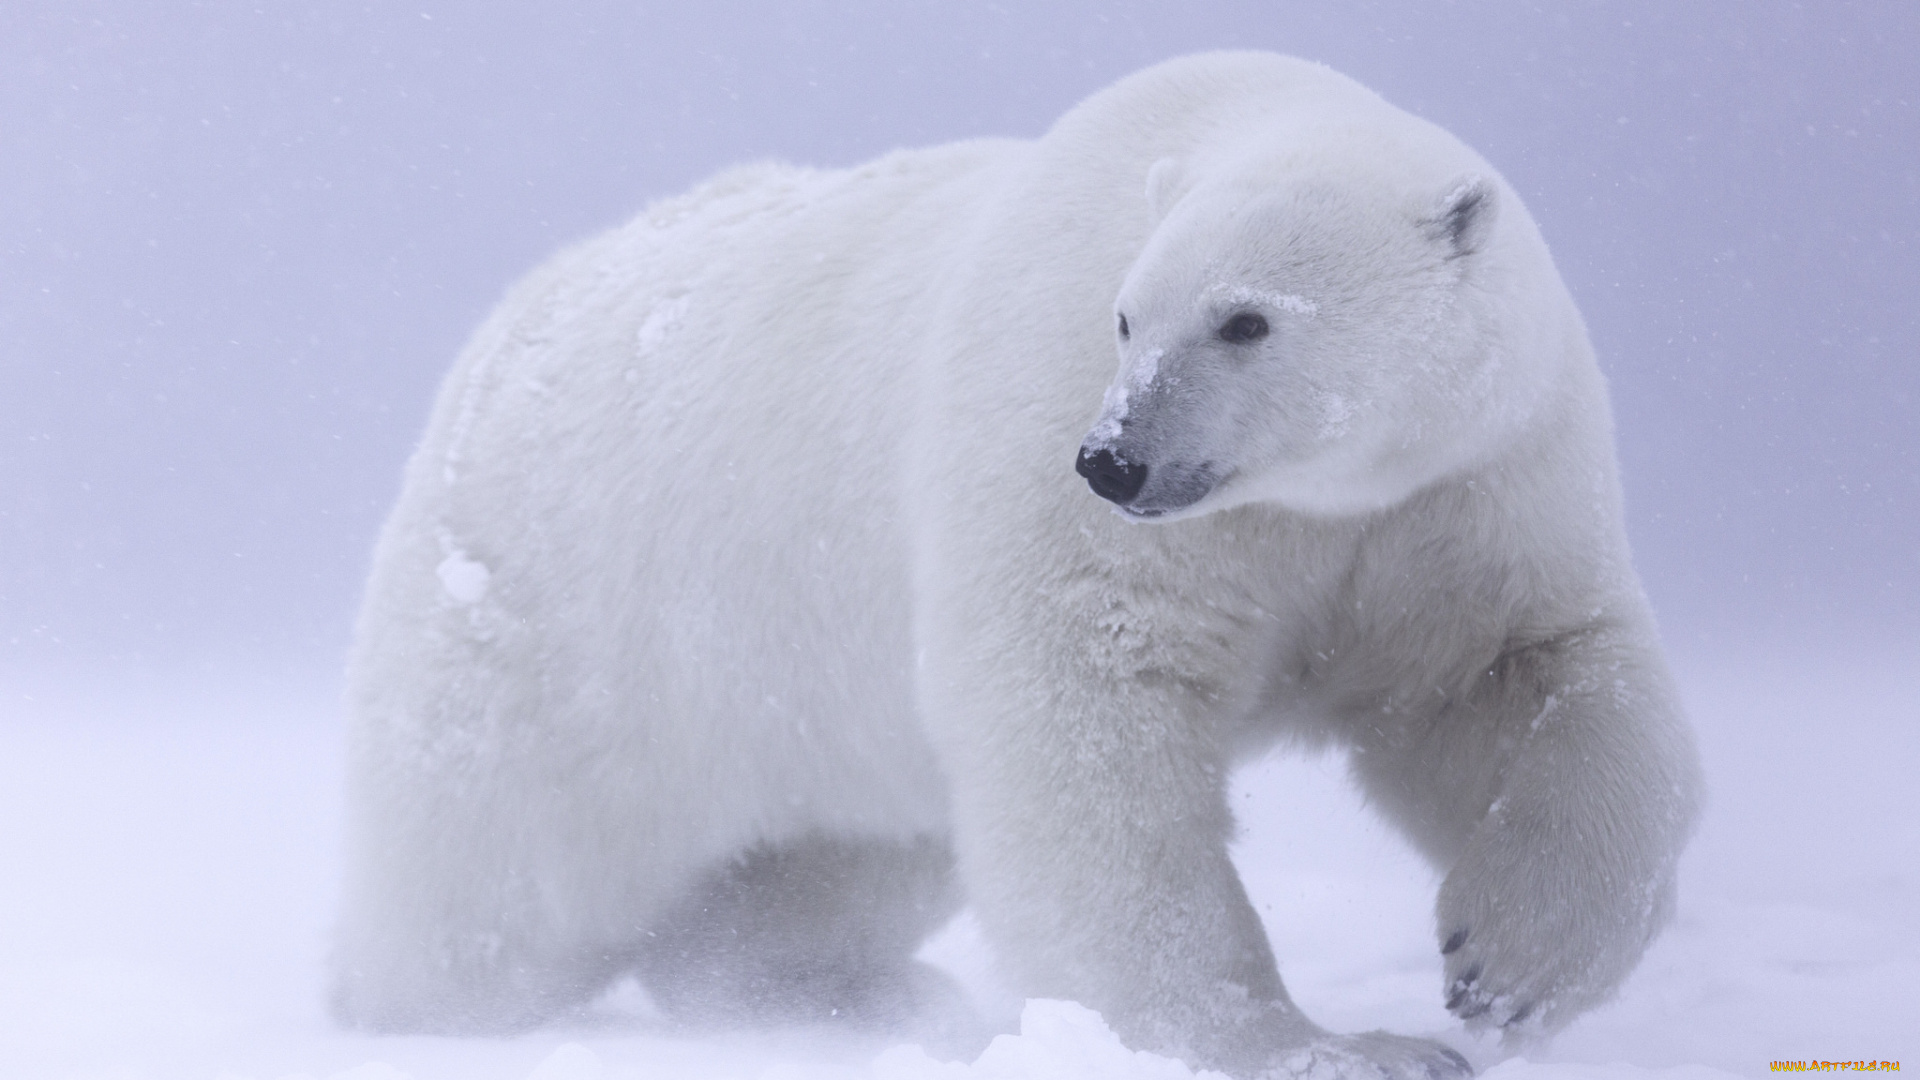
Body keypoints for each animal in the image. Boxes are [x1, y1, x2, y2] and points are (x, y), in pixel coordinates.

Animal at [330, 52, 1697, 1076]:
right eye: (1129, 317)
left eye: (1248, 319)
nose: (1115, 459)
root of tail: (506, 331)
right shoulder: (1062, 454)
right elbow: (1089, 739)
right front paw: (1336, 1049)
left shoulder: (1456, 499)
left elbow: (1517, 682)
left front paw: (1507, 969)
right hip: (563, 627)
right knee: (495, 885)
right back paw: (399, 1007)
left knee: (837, 861)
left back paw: (850, 991)